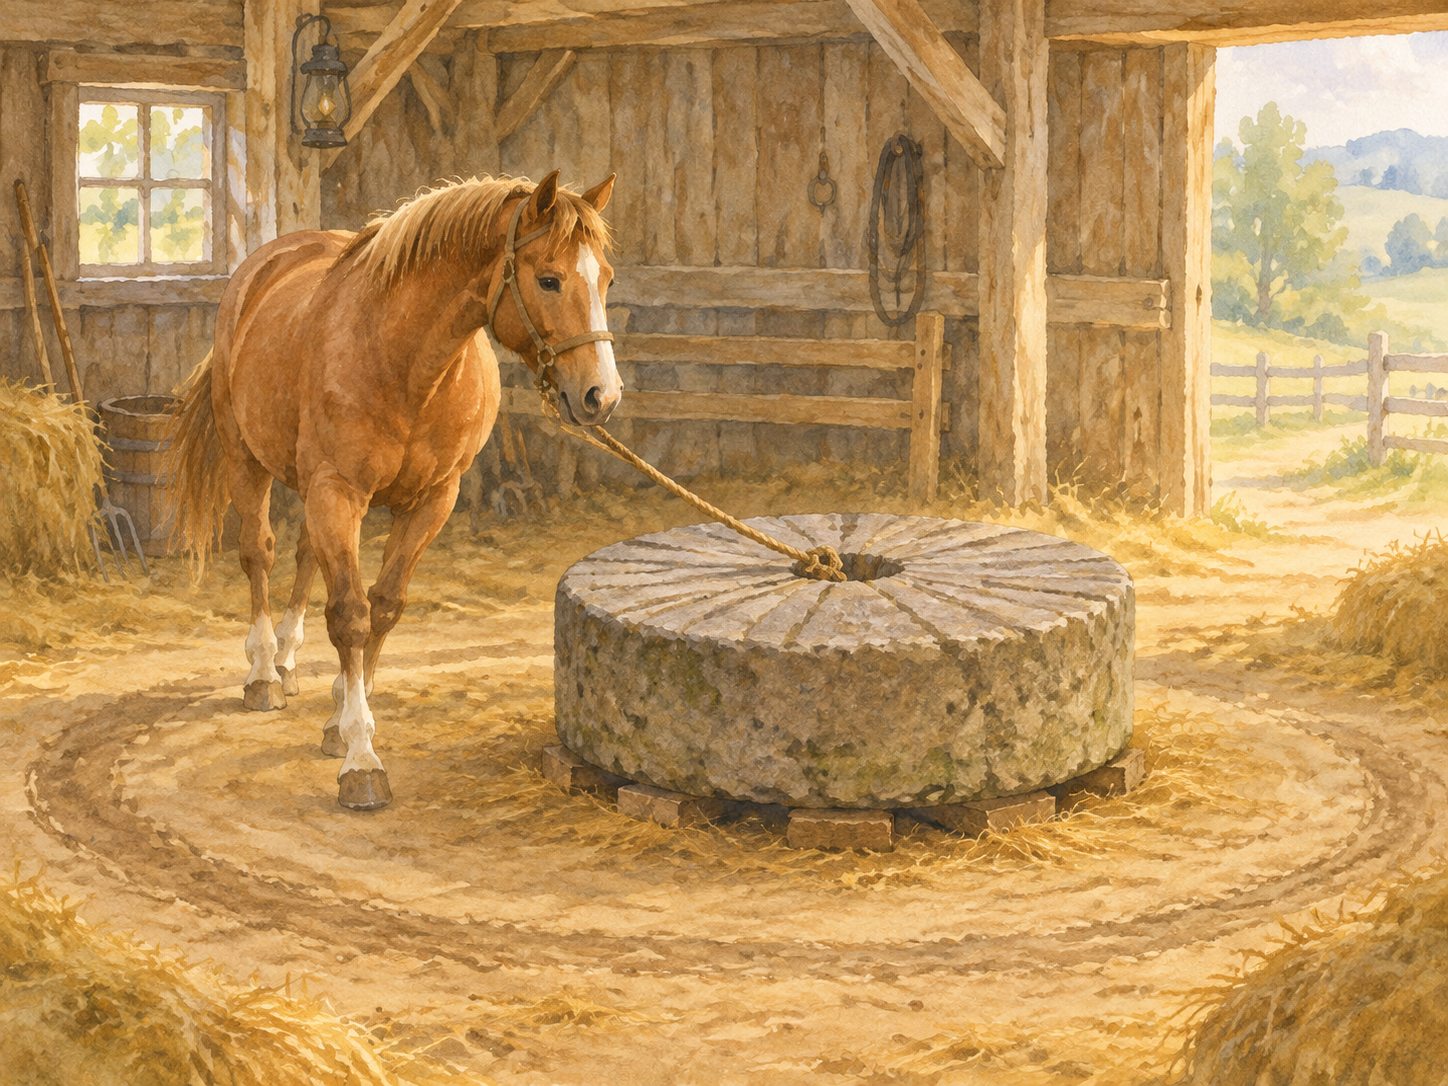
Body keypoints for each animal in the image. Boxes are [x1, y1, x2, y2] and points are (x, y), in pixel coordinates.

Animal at [167, 171, 621, 811]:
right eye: (549, 279)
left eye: (605, 278)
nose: (601, 396)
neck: (402, 361)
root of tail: (264, 265)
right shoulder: (337, 492)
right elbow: (350, 615)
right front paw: (361, 760)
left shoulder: (431, 501)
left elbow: (381, 608)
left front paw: (341, 719)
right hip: (246, 460)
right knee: (260, 553)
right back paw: (262, 675)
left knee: (305, 556)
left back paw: (287, 660)